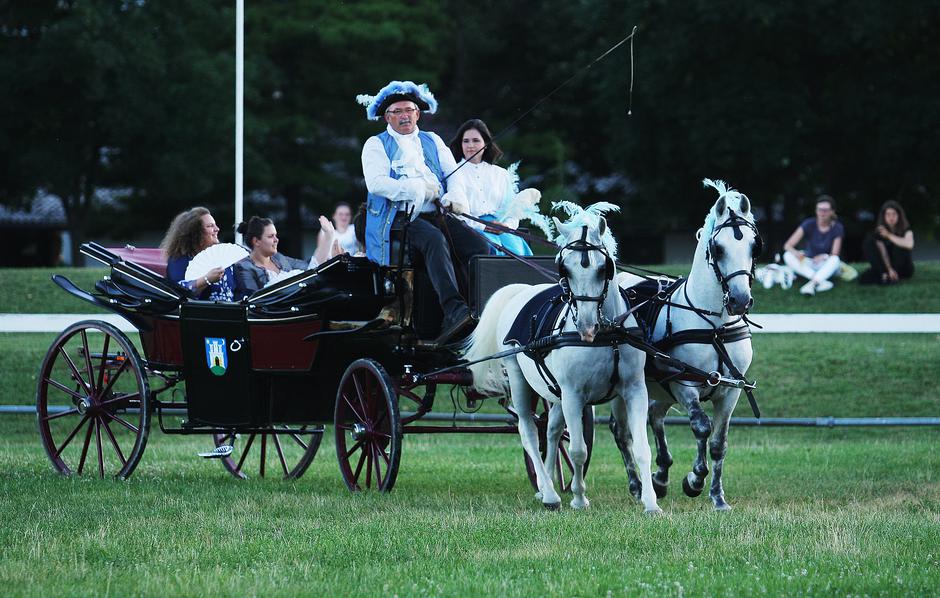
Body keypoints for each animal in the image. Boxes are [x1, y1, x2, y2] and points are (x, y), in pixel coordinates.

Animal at [464, 211, 660, 516]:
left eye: (604, 268)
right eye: (564, 269)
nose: (586, 327)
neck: (607, 336)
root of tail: (520, 291)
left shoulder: (635, 389)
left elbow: (642, 447)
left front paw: (651, 503)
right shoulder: (573, 395)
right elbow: (579, 450)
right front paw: (579, 498)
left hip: (554, 392)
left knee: (552, 431)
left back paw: (545, 484)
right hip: (521, 380)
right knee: (529, 432)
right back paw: (550, 494)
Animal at [612, 180, 760, 512]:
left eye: (753, 246)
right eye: (718, 248)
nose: (740, 300)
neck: (714, 326)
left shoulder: (731, 391)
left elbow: (718, 443)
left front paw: (717, 497)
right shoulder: (684, 383)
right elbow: (701, 426)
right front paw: (694, 480)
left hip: (658, 387)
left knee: (655, 415)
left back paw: (661, 476)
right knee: (622, 432)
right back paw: (637, 485)